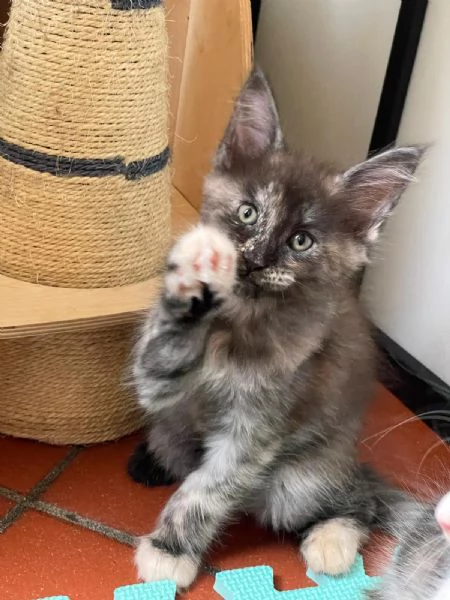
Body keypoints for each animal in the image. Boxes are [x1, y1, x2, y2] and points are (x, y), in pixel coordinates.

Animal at [130, 68, 426, 588]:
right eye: (248, 212)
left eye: (301, 241)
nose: (256, 261)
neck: (238, 325)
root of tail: (349, 461)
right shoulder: (157, 385)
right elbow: (159, 360)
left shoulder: (257, 431)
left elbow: (206, 492)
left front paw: (169, 551)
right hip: (172, 433)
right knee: (172, 446)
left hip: (299, 482)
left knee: (360, 500)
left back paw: (333, 541)